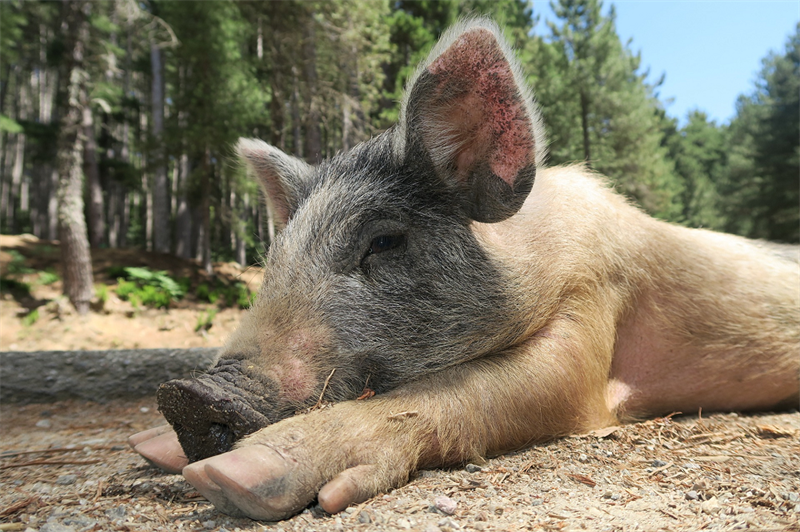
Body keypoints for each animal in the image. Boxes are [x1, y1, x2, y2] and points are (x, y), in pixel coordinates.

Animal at [129, 18, 800, 521]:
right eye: (276, 255)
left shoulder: (595, 307)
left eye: (384, 241)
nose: (190, 395)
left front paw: (230, 476)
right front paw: (152, 448)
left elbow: (488, 386)